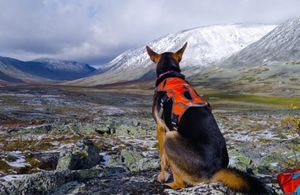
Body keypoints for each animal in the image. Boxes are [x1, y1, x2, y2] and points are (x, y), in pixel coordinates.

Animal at [146, 42, 270, 193]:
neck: (170, 73)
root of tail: (215, 171)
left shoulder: (160, 127)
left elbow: (162, 158)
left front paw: (162, 176)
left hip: (170, 137)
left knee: (181, 183)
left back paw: (170, 185)